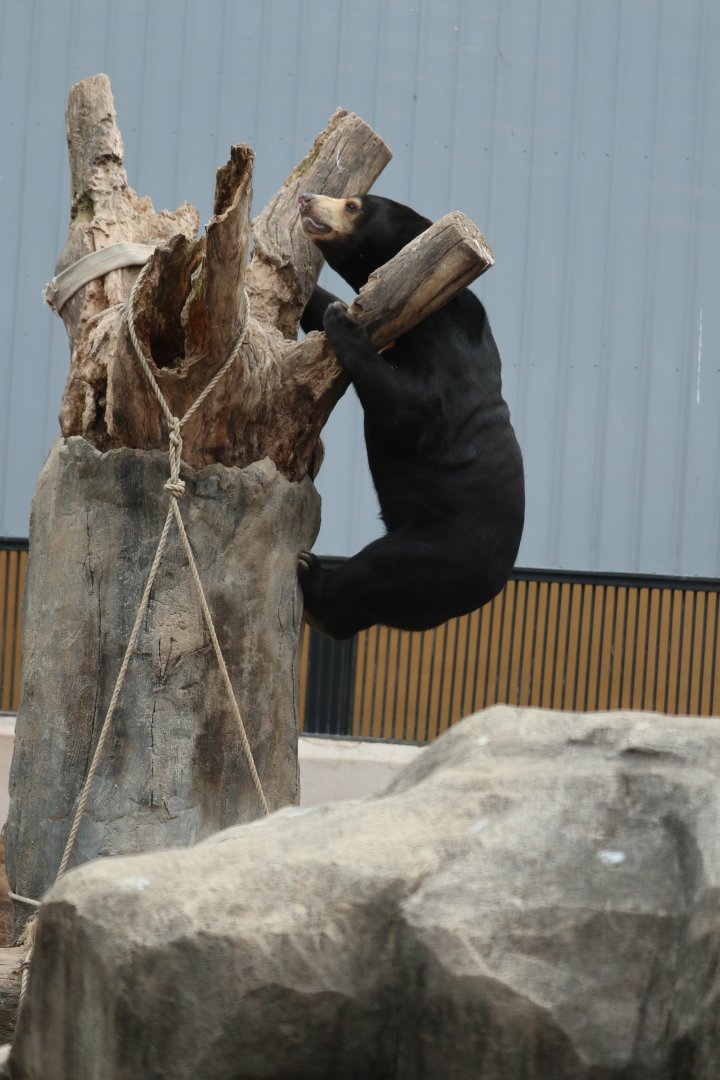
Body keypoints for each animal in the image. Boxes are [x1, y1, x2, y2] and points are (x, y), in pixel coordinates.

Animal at [297, 191, 524, 640]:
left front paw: (341, 319)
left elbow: (413, 412)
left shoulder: (446, 351)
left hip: (434, 552)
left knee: (372, 571)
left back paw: (312, 580)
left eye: (352, 206)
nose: (306, 198)